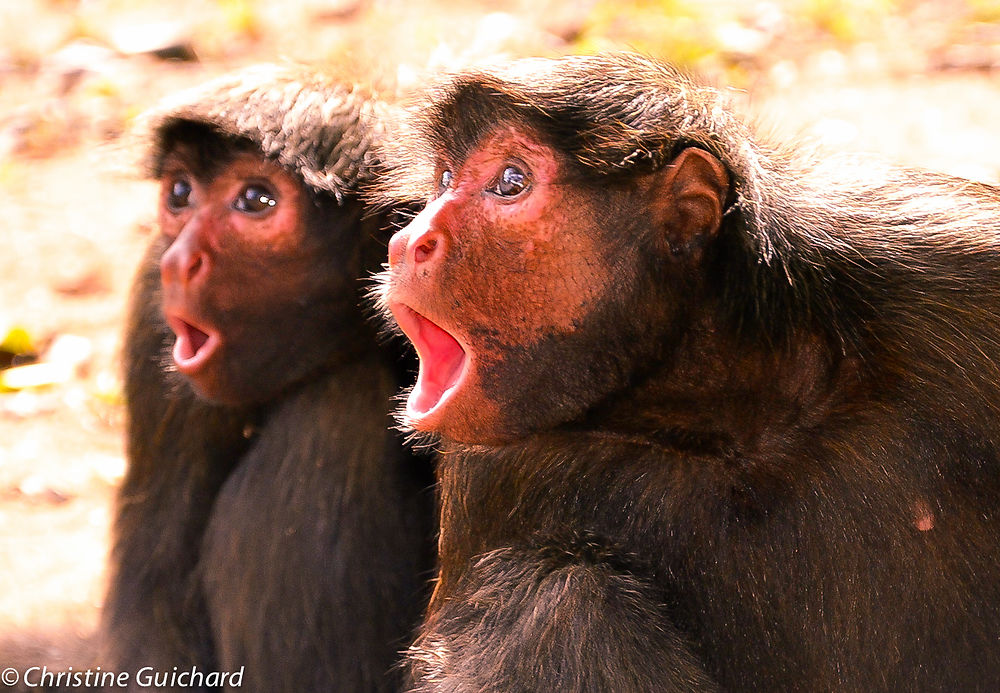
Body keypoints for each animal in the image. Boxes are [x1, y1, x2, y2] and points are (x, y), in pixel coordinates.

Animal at [374, 54, 1000, 692]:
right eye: (444, 180)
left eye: (510, 183)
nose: (409, 241)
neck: (734, 410)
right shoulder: (492, 472)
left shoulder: (955, 265)